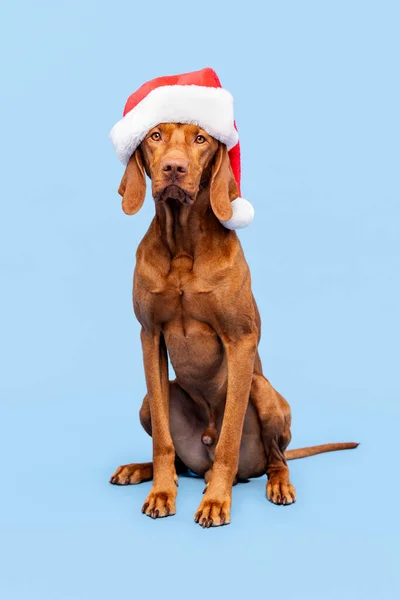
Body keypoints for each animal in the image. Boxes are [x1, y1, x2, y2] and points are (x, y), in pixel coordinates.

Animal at [108, 120, 356, 524]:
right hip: (148, 404)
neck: (183, 244)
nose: (174, 169)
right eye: (155, 136)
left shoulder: (240, 340)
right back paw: (141, 469)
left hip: (264, 391)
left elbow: (229, 440)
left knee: (276, 459)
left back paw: (274, 484)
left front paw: (216, 501)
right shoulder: (150, 337)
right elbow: (162, 439)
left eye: (200, 138)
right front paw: (161, 492)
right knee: (179, 460)